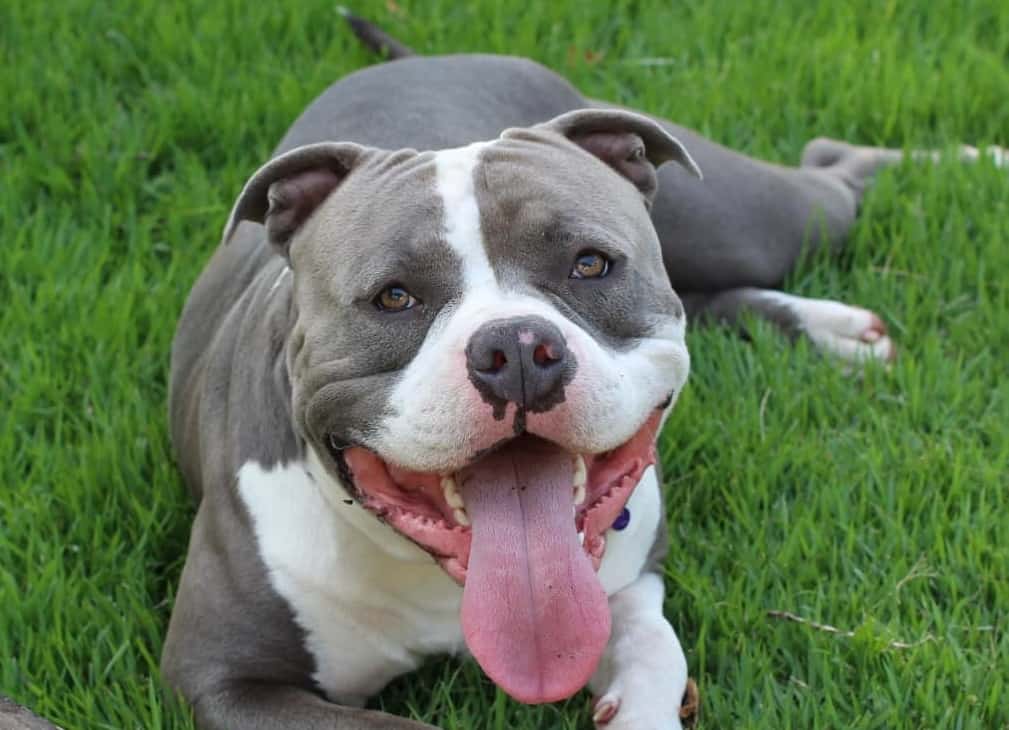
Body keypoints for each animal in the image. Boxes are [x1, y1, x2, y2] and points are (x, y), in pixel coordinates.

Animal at [161, 11, 1004, 730]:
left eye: (590, 263)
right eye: (394, 296)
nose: (515, 351)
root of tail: (439, 54)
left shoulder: (632, 576)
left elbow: (655, 648)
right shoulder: (225, 680)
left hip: (749, 219)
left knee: (831, 166)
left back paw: (968, 171)